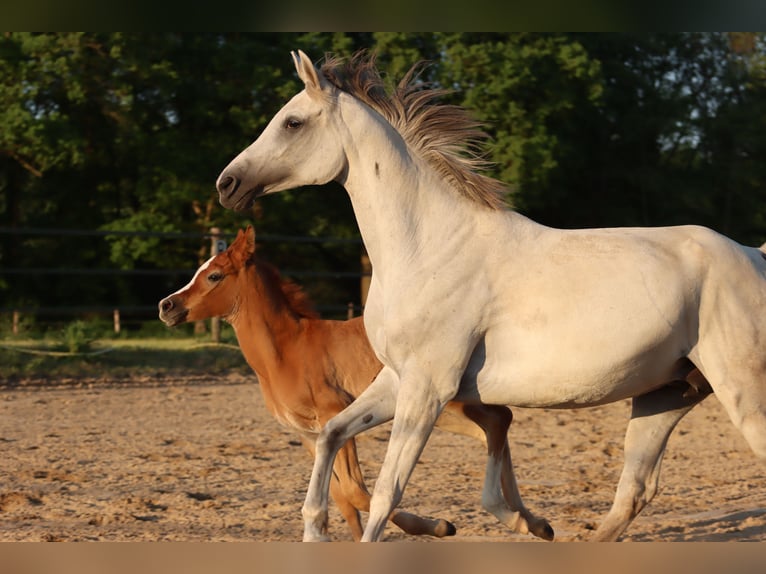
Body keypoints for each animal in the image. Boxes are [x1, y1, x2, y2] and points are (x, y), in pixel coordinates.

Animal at [214, 50, 766, 544]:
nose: (227, 183)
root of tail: (753, 254)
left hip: (741, 391)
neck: (431, 246)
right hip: (666, 395)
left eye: (292, 122)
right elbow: (331, 436)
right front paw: (315, 531)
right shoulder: (396, 380)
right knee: (634, 491)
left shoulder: (427, 390)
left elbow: (387, 494)